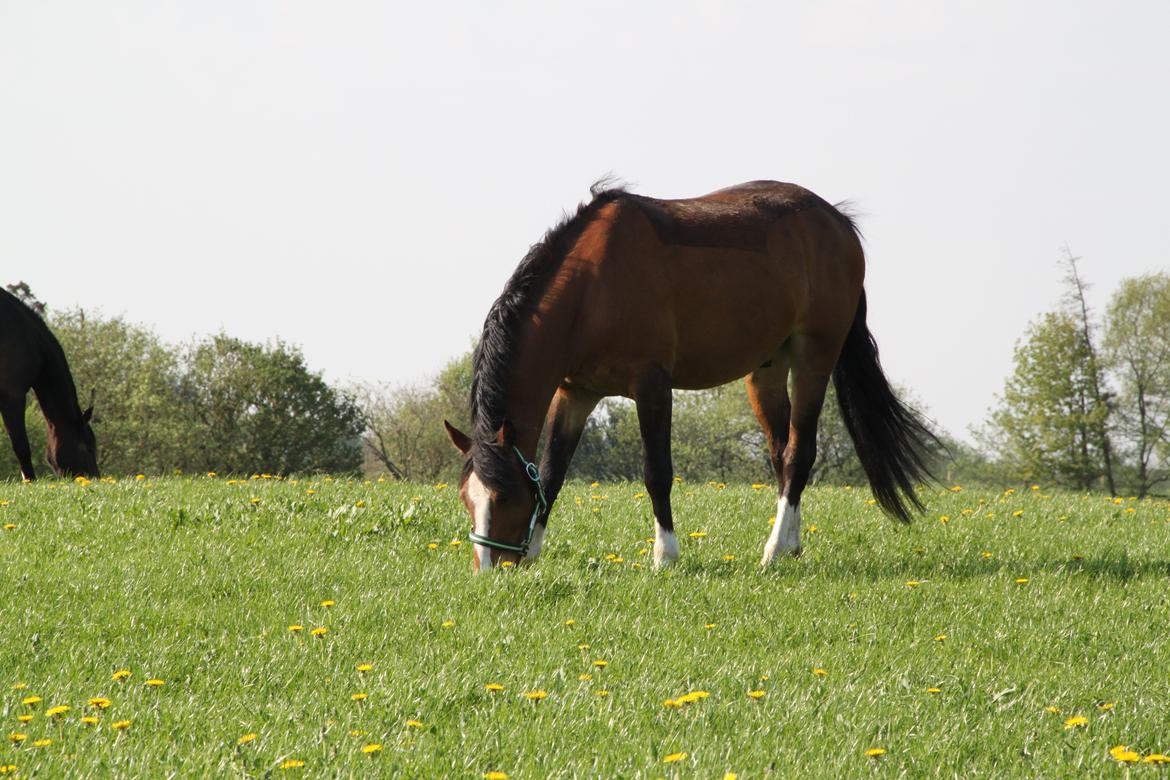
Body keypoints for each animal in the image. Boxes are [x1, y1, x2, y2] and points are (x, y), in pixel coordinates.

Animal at [442, 183, 935, 573]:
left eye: (504, 497)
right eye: (467, 499)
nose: (488, 568)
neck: (592, 288)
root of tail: (838, 223)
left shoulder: (652, 387)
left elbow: (656, 472)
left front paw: (666, 555)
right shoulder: (576, 393)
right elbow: (551, 472)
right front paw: (536, 551)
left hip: (814, 357)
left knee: (800, 453)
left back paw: (774, 550)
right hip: (767, 369)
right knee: (782, 453)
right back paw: (792, 545)